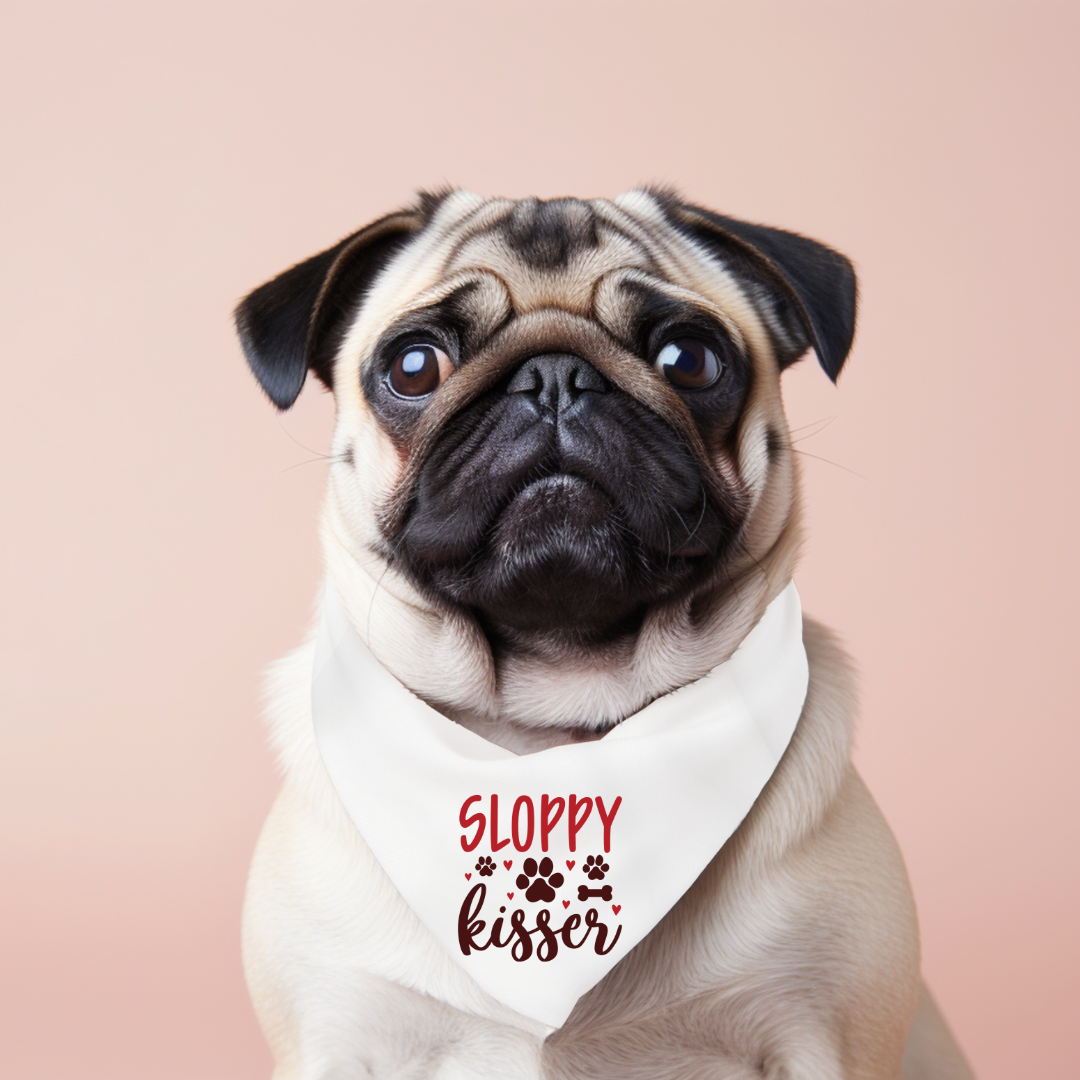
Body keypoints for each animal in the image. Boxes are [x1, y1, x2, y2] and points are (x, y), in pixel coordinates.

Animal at [234, 190, 972, 1075]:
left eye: (690, 359)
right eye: (413, 367)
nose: (553, 376)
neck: (552, 729)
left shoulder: (825, 1041)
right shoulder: (336, 1041)